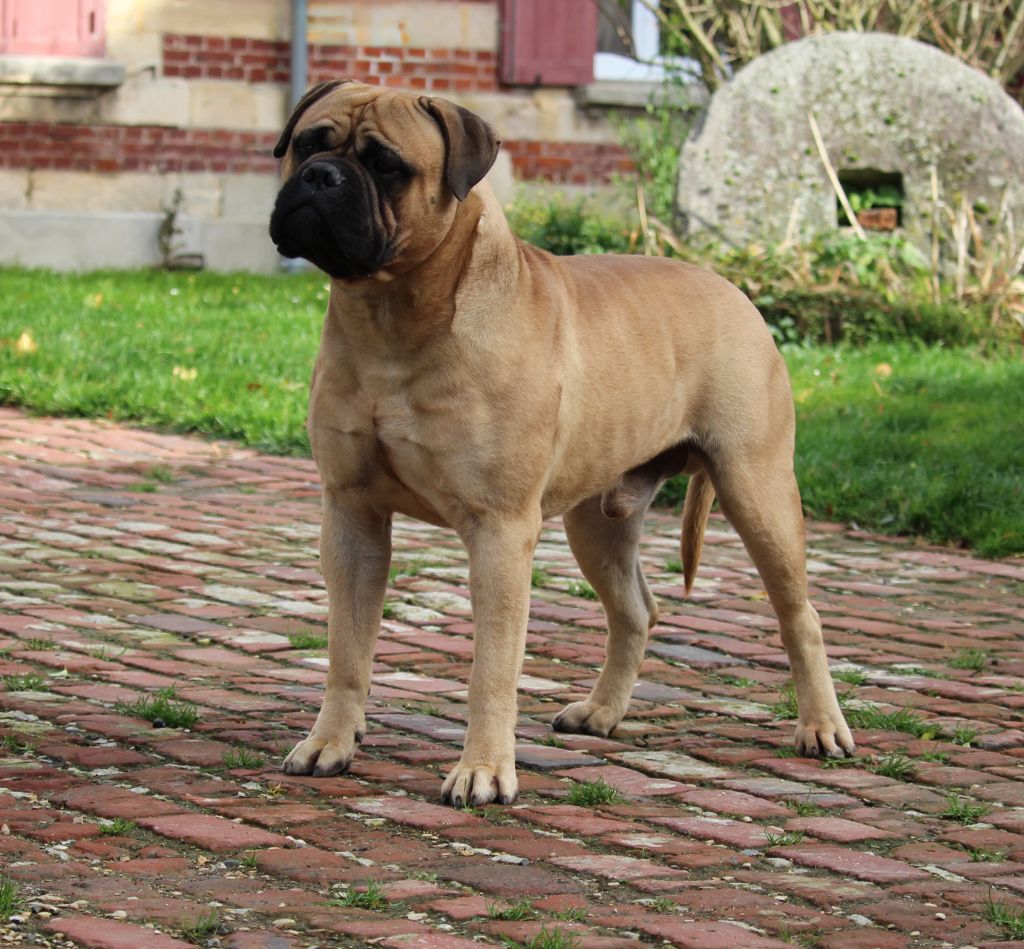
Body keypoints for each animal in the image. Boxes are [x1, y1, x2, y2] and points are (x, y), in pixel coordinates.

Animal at [268, 83, 851, 810]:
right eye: (308, 144)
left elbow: (492, 667)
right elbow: (347, 649)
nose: (321, 177)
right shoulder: (351, 516)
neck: (392, 315)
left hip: (757, 489)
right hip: (595, 523)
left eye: (386, 165)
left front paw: (483, 770)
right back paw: (601, 711)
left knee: (801, 615)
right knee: (635, 611)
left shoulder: (498, 530)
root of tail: (736, 290)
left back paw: (821, 726)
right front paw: (330, 741)